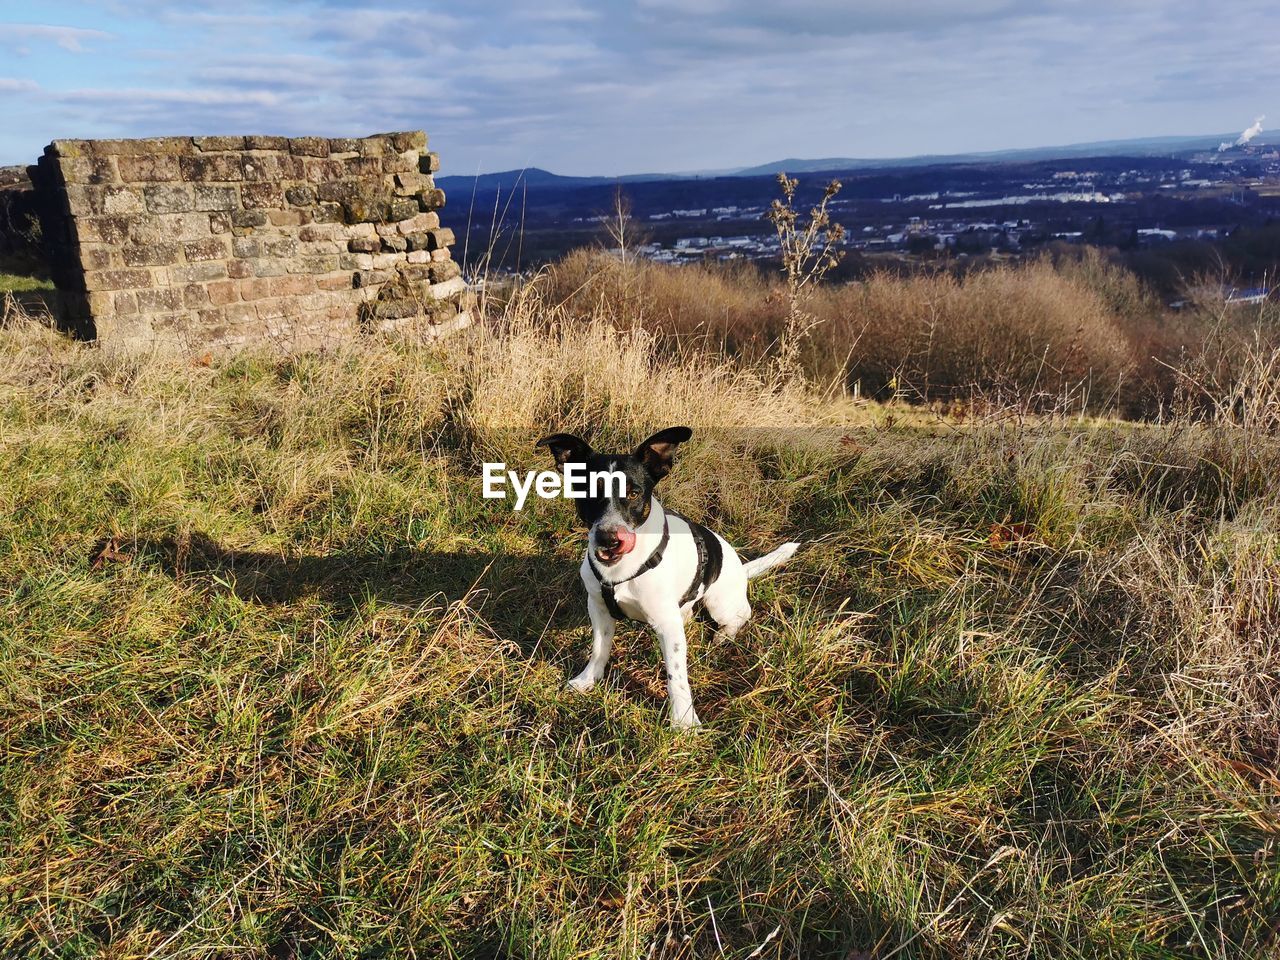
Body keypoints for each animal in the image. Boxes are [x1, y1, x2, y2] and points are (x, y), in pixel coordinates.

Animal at [537, 427, 798, 727]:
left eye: (634, 493)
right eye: (589, 490)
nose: (609, 539)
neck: (621, 570)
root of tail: (740, 568)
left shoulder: (667, 626)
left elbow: (676, 677)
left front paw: (683, 720)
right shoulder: (599, 609)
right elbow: (599, 649)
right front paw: (588, 680)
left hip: (720, 604)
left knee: (741, 615)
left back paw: (724, 635)